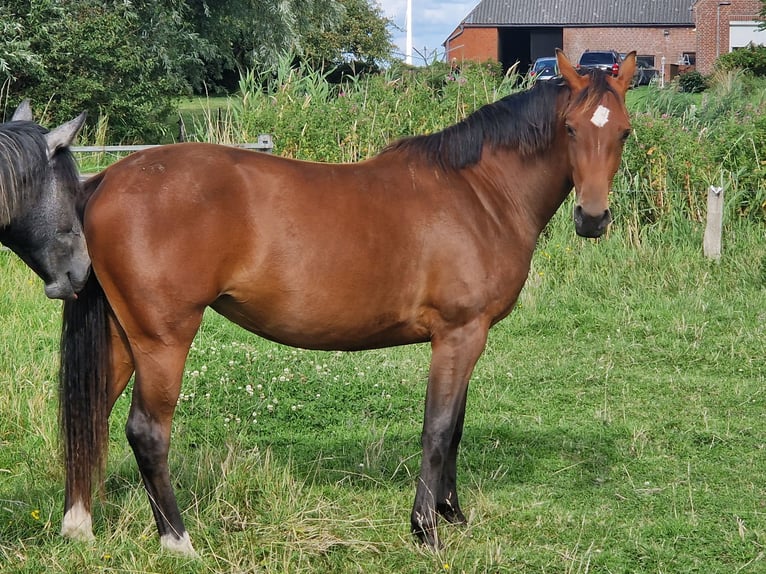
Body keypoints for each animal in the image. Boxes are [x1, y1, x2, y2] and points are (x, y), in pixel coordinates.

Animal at [58, 51, 636, 556]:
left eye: (624, 131)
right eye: (570, 129)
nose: (592, 219)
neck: (478, 193)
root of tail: (107, 179)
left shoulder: (470, 335)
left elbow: (456, 427)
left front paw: (451, 512)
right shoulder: (458, 334)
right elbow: (438, 429)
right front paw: (426, 529)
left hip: (123, 337)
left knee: (93, 415)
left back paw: (78, 526)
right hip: (163, 340)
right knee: (146, 432)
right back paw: (178, 540)